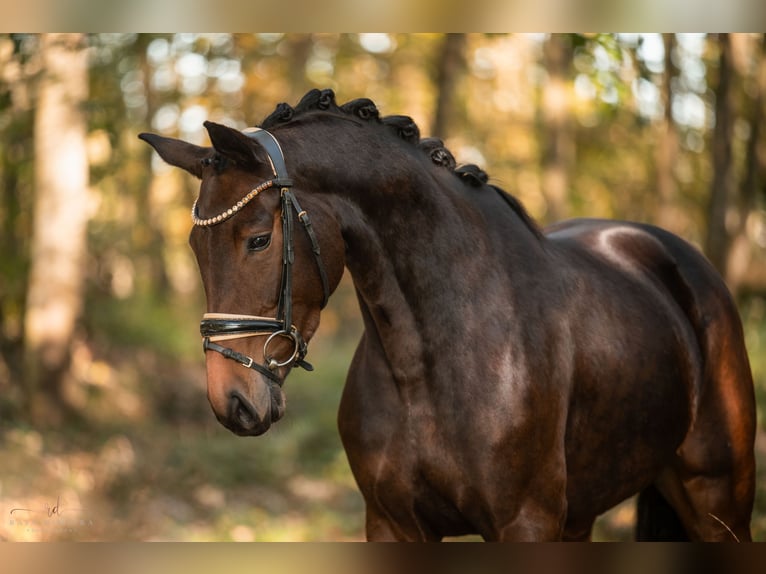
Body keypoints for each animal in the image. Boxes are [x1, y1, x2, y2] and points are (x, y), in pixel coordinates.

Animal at [141, 88, 760, 544]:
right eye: (195, 249)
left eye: (259, 239)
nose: (232, 399)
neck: (430, 362)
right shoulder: (392, 525)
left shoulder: (525, 525)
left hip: (718, 498)